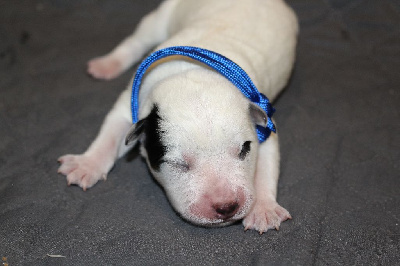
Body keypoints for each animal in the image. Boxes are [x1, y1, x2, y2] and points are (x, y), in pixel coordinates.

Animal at [57, 0, 298, 233]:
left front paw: (264, 209)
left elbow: (266, 168)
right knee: (136, 40)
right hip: (161, 17)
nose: (227, 206)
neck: (192, 71)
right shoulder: (129, 107)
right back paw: (107, 64)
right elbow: (108, 136)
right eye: (178, 164)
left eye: (244, 149)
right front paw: (87, 164)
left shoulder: (264, 123)